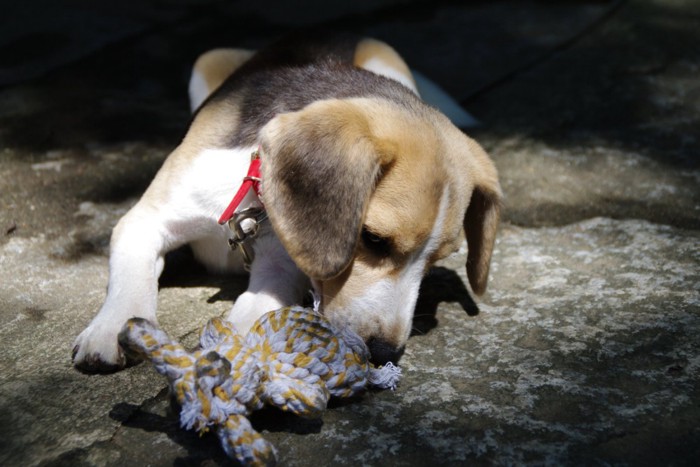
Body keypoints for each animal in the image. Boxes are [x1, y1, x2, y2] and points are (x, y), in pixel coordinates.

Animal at [72, 33, 504, 372]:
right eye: (373, 240)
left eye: (436, 261)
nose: (385, 353)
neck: (253, 193)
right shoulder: (144, 220)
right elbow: (133, 275)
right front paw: (112, 328)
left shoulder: (283, 263)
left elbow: (258, 302)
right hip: (207, 61)